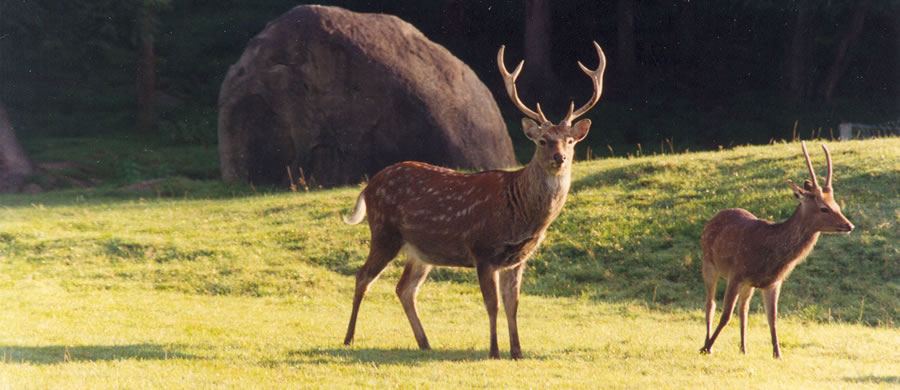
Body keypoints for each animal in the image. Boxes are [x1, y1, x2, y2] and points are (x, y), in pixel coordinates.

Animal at [342, 42, 608, 360]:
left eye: (570, 140)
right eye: (542, 141)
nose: (560, 157)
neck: (520, 213)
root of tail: (368, 187)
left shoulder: (517, 259)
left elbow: (513, 305)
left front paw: (517, 352)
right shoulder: (483, 250)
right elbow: (492, 305)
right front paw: (494, 351)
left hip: (420, 251)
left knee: (404, 288)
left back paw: (425, 342)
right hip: (384, 232)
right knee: (363, 277)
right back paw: (349, 338)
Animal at [700, 141, 856, 360]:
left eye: (836, 205)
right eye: (823, 208)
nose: (849, 225)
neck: (770, 257)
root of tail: (712, 219)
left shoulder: (773, 282)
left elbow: (772, 318)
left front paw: (777, 353)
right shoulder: (736, 274)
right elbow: (725, 315)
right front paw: (706, 347)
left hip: (747, 285)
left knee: (743, 309)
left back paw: (743, 348)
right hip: (708, 263)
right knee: (710, 304)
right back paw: (709, 344)